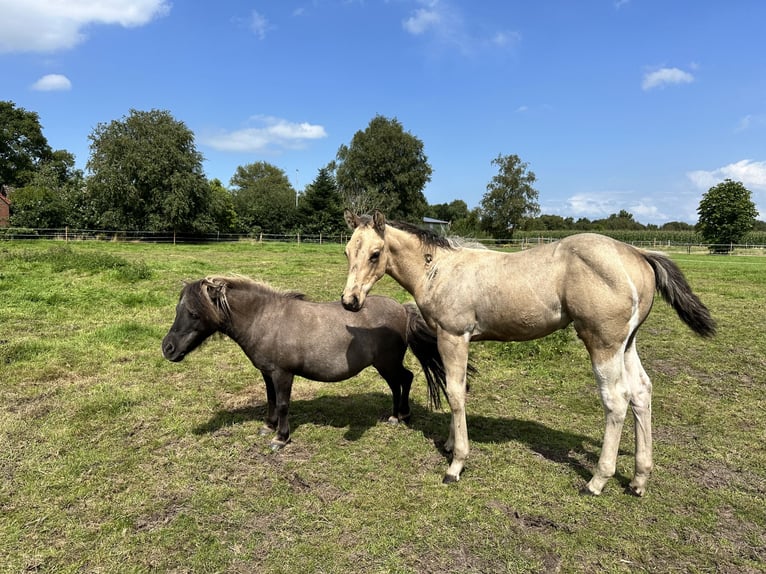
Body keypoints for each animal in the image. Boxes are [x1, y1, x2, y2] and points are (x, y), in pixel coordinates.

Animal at [162, 275, 447, 450]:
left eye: (194, 313)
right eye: (178, 310)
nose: (167, 348)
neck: (266, 319)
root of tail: (403, 309)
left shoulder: (283, 374)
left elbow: (283, 404)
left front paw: (280, 438)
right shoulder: (268, 373)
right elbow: (271, 400)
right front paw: (268, 426)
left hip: (387, 363)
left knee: (405, 379)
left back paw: (402, 415)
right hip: (384, 365)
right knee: (398, 383)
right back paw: (395, 415)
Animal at [341, 210, 716, 495]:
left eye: (375, 253)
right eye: (347, 252)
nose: (350, 301)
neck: (441, 269)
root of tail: (637, 254)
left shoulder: (453, 336)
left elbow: (455, 394)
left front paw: (456, 464)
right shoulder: (454, 340)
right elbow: (457, 389)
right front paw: (448, 444)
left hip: (603, 343)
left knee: (617, 398)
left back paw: (597, 481)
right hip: (627, 343)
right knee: (641, 391)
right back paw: (638, 479)